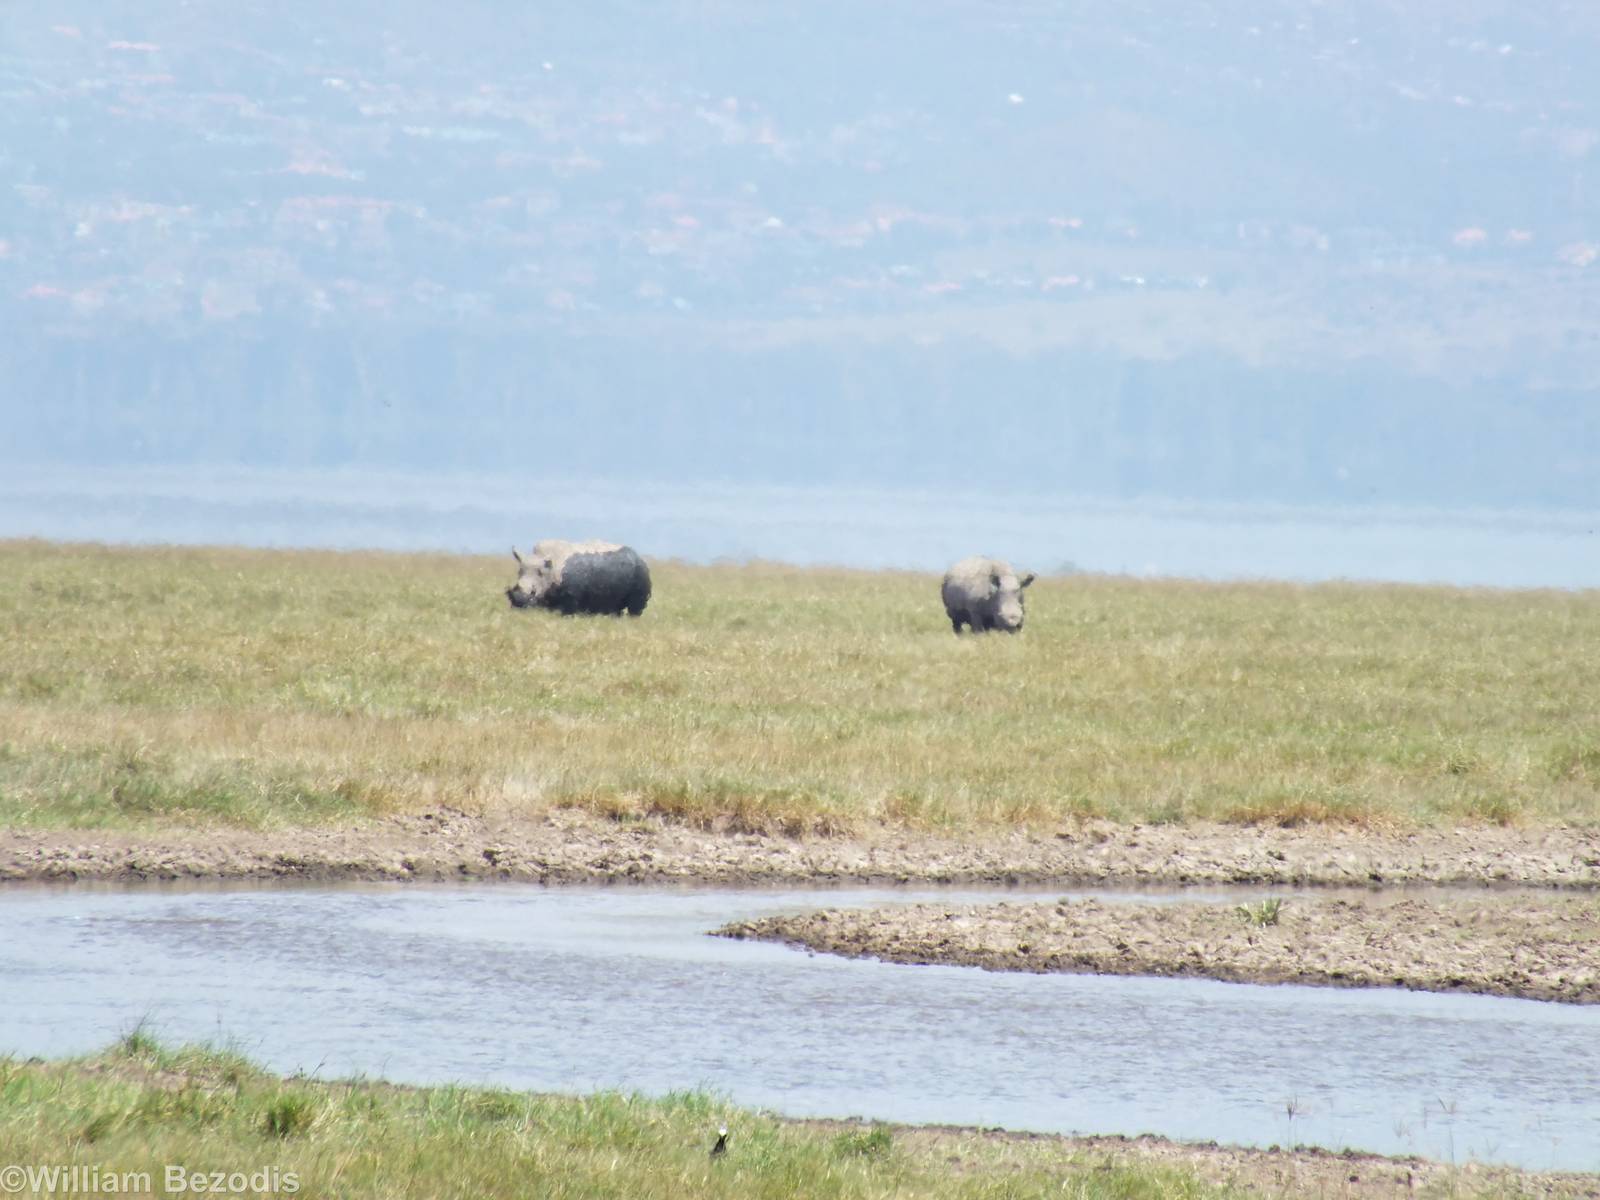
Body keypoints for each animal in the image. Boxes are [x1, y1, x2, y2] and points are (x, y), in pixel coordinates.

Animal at [507, 539, 652, 616]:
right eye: (518, 572)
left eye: (533, 592)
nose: (519, 601)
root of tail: (638, 556)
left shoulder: (571, 596)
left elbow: (568, 611)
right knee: (614, 608)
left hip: (641, 572)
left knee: (635, 608)